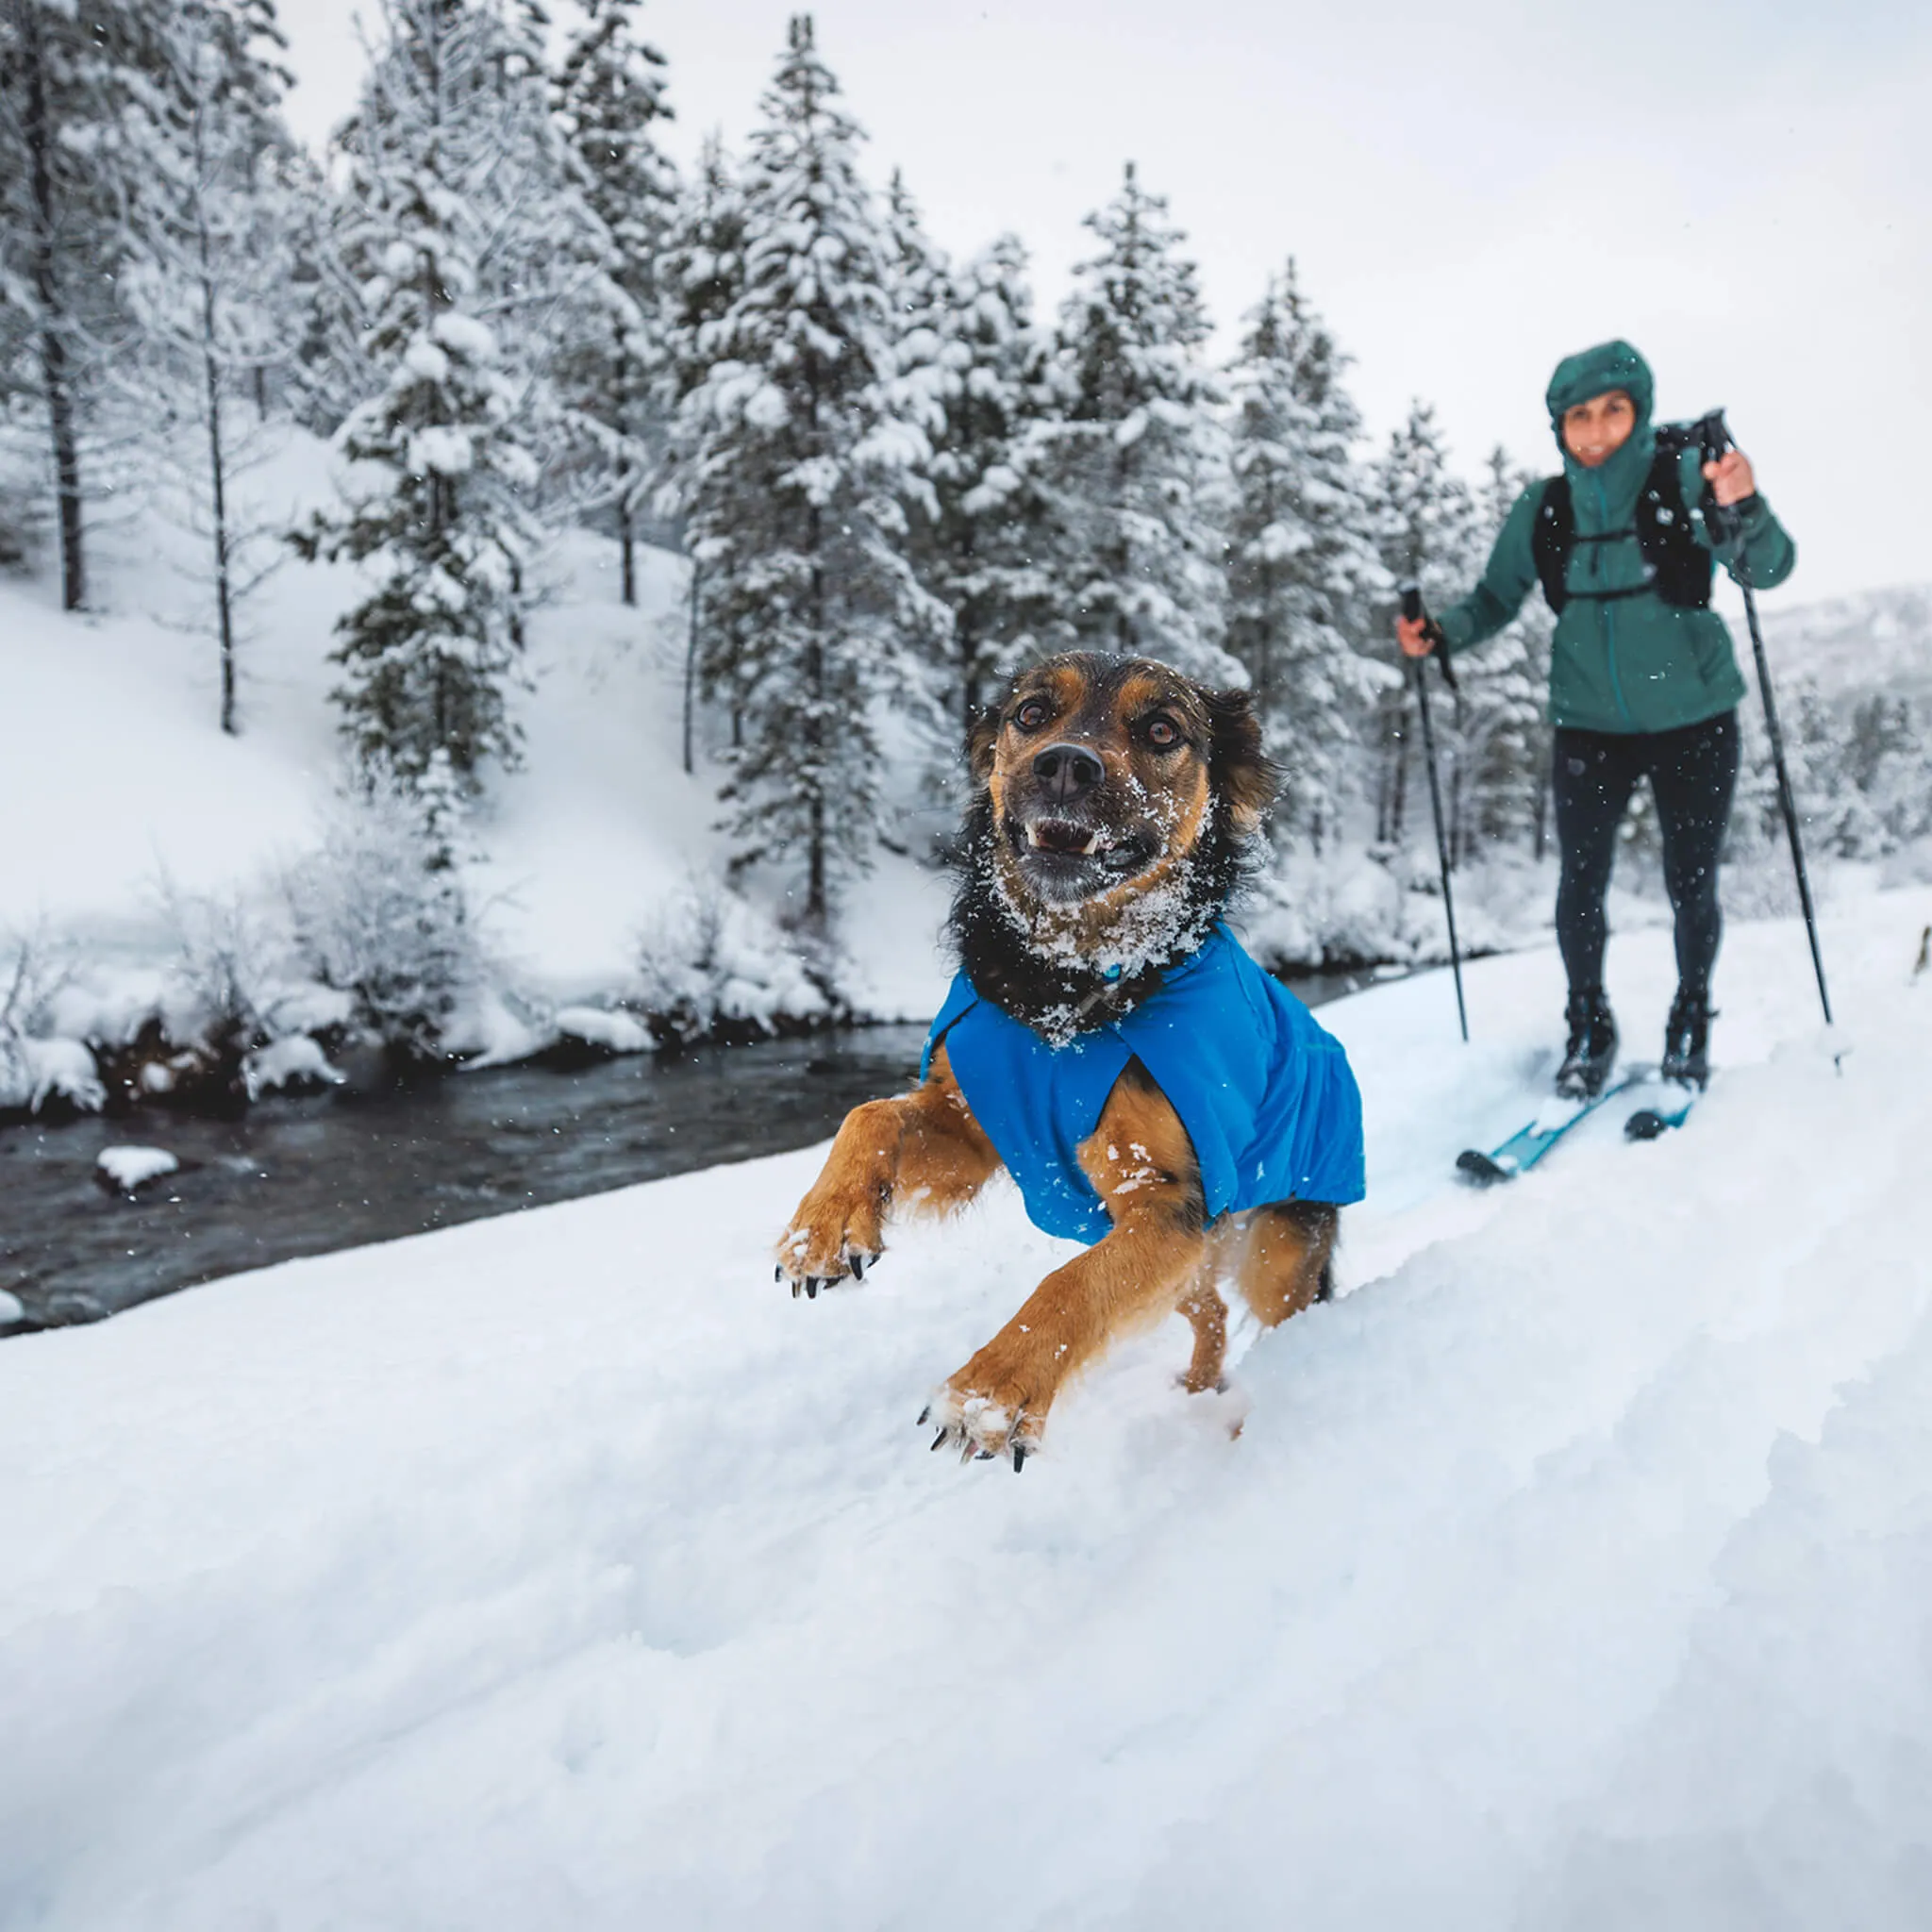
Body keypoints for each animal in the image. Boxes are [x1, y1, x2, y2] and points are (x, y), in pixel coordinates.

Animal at [776, 649, 1367, 1460]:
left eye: (1161, 729)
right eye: (1031, 714)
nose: (1063, 766)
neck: (1064, 988)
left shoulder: (1170, 1205)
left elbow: (1073, 1284)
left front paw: (990, 1394)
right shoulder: (975, 1131)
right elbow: (869, 1114)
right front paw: (827, 1226)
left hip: (1277, 1253)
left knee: (1283, 1326)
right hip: (1199, 1265)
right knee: (1212, 1313)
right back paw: (1196, 1390)